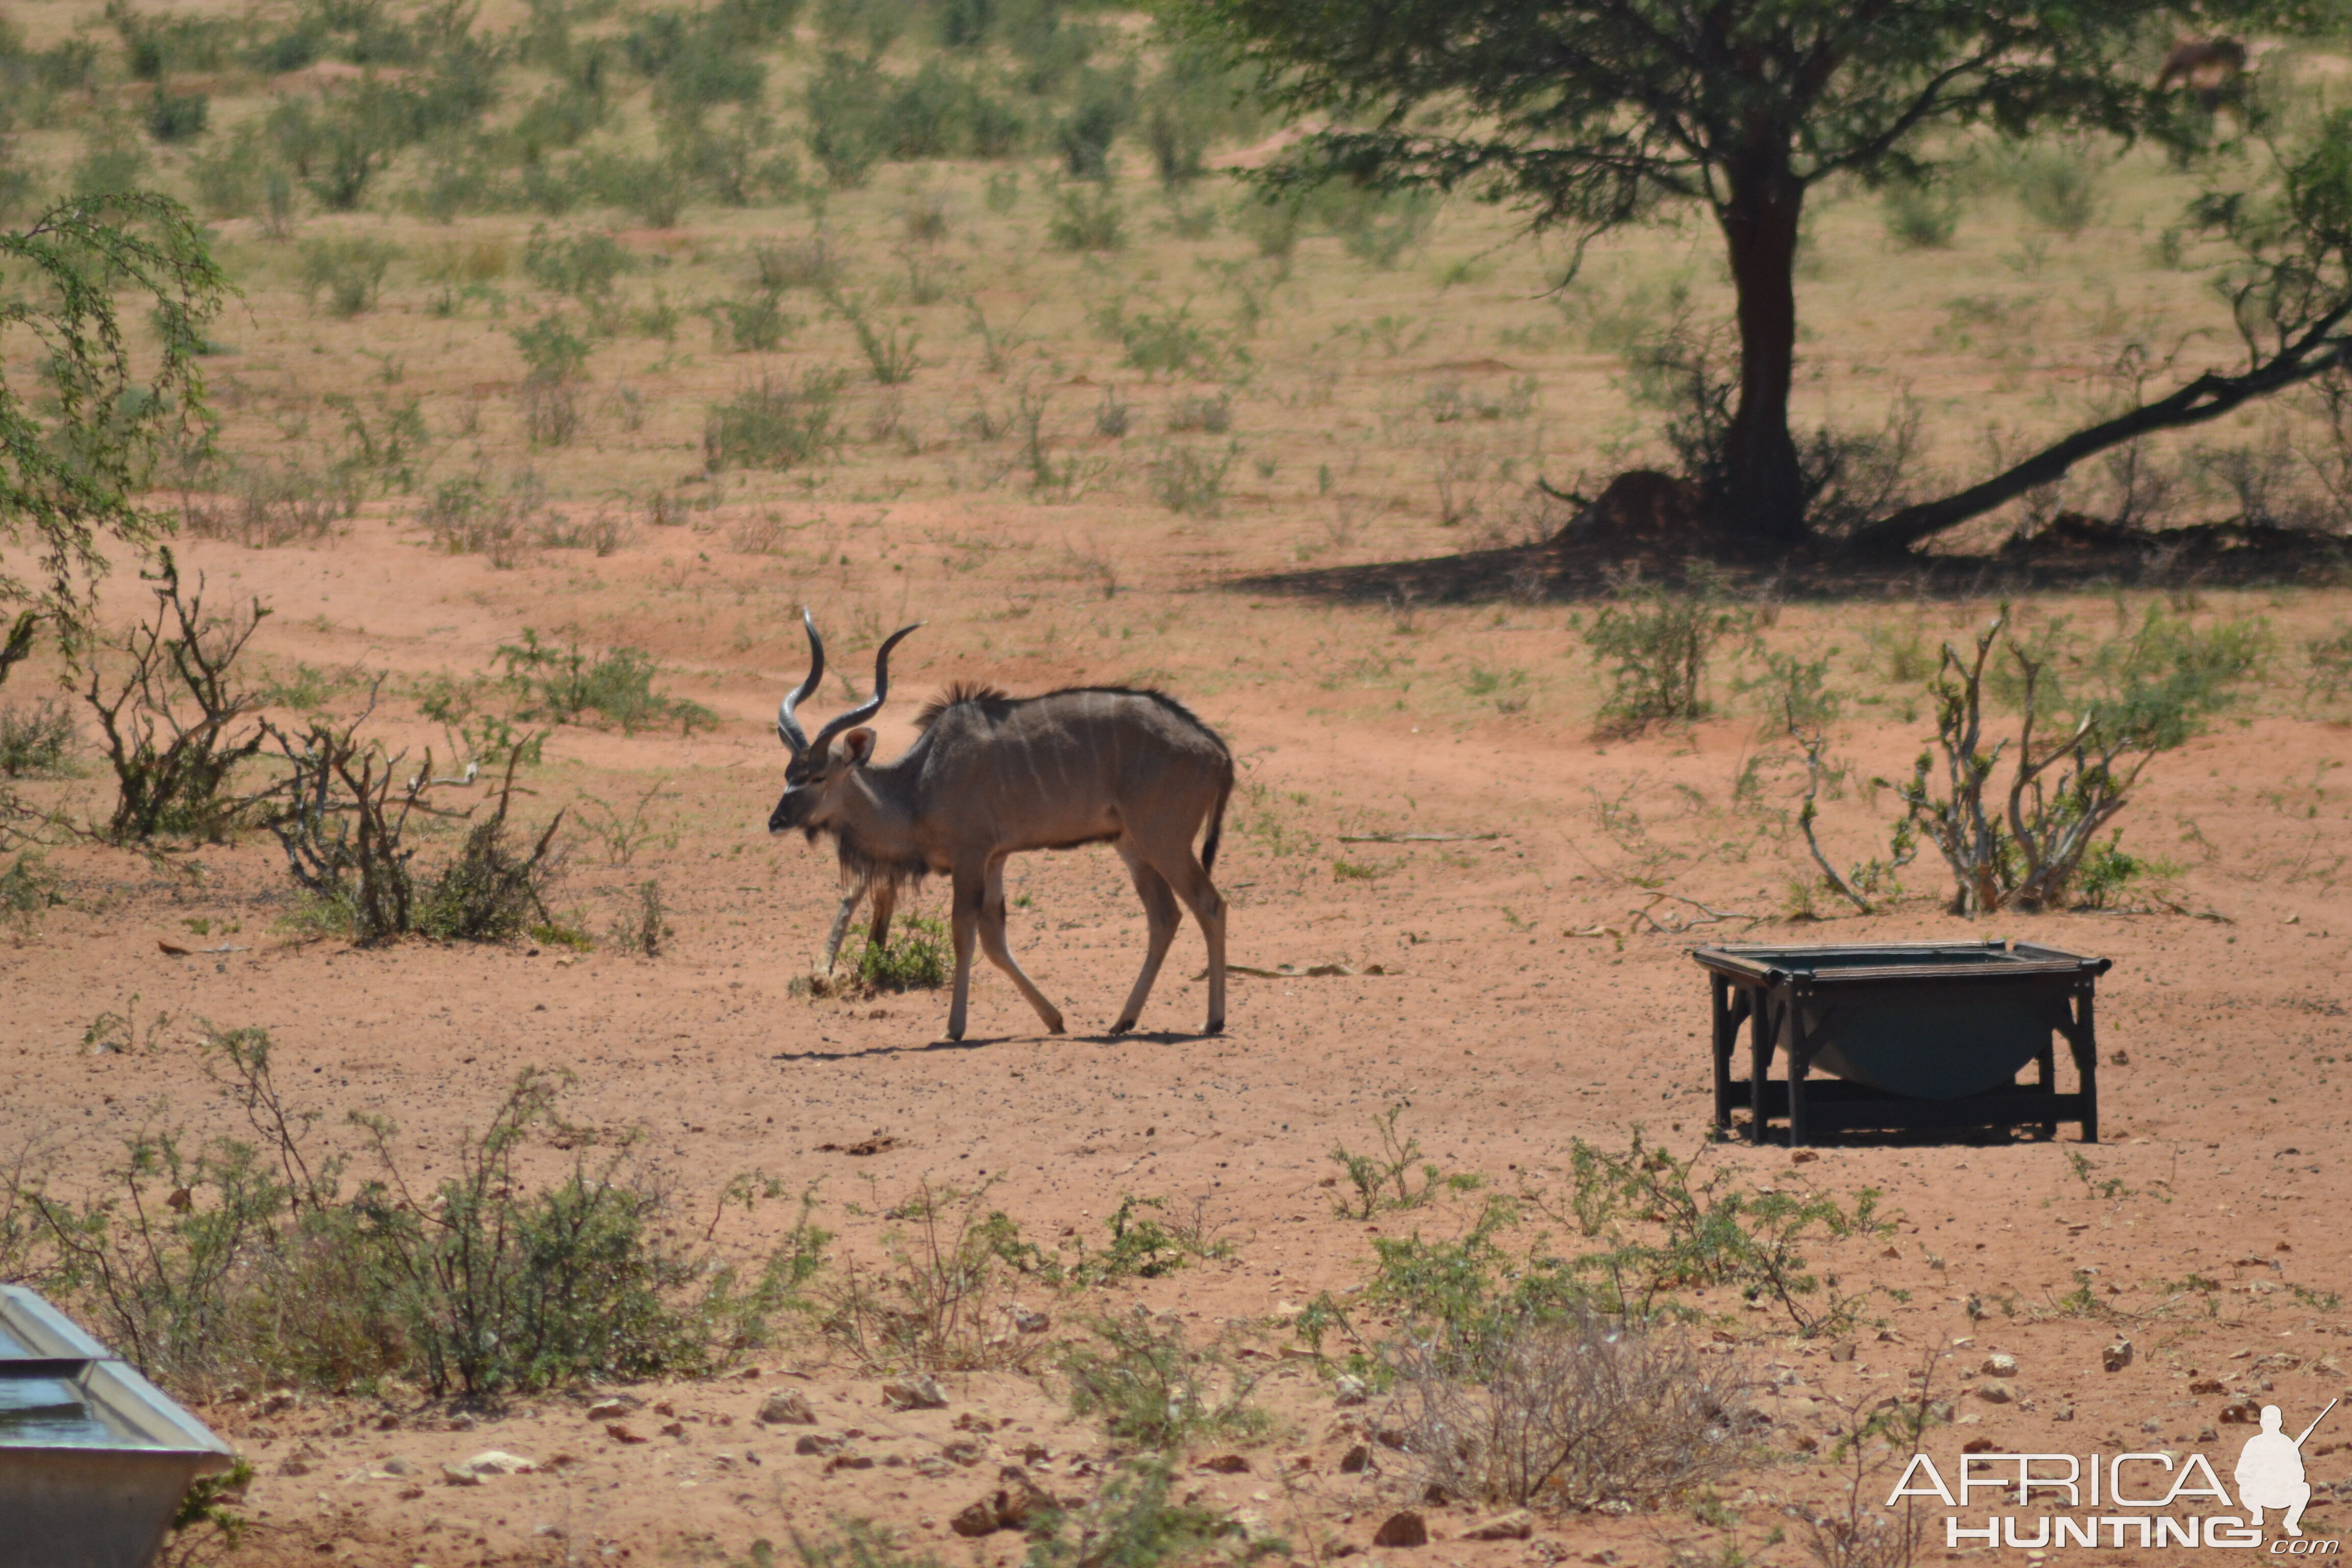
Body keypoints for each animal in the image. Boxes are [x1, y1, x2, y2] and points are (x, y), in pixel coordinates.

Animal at [771, 611, 1242, 1043]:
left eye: (818, 777)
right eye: (788, 773)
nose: (776, 821)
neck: (919, 783)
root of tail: (1215, 749)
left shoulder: (971, 856)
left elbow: (964, 932)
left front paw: (954, 1028)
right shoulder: (996, 858)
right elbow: (995, 940)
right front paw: (1055, 1019)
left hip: (1165, 842)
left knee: (1210, 904)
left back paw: (1213, 1020)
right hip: (1133, 846)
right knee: (1165, 916)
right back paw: (1123, 1021)